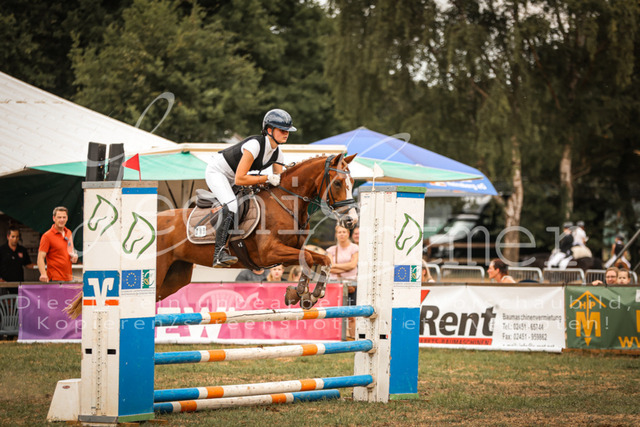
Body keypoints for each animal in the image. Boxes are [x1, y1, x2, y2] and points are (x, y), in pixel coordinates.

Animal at [67, 154, 358, 317]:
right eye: (338, 183)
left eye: (352, 182)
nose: (351, 220)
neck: (286, 201)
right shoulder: (268, 254)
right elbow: (314, 258)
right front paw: (302, 293)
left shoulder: (287, 254)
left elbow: (316, 260)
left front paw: (304, 295)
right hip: (158, 273)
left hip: (174, 278)